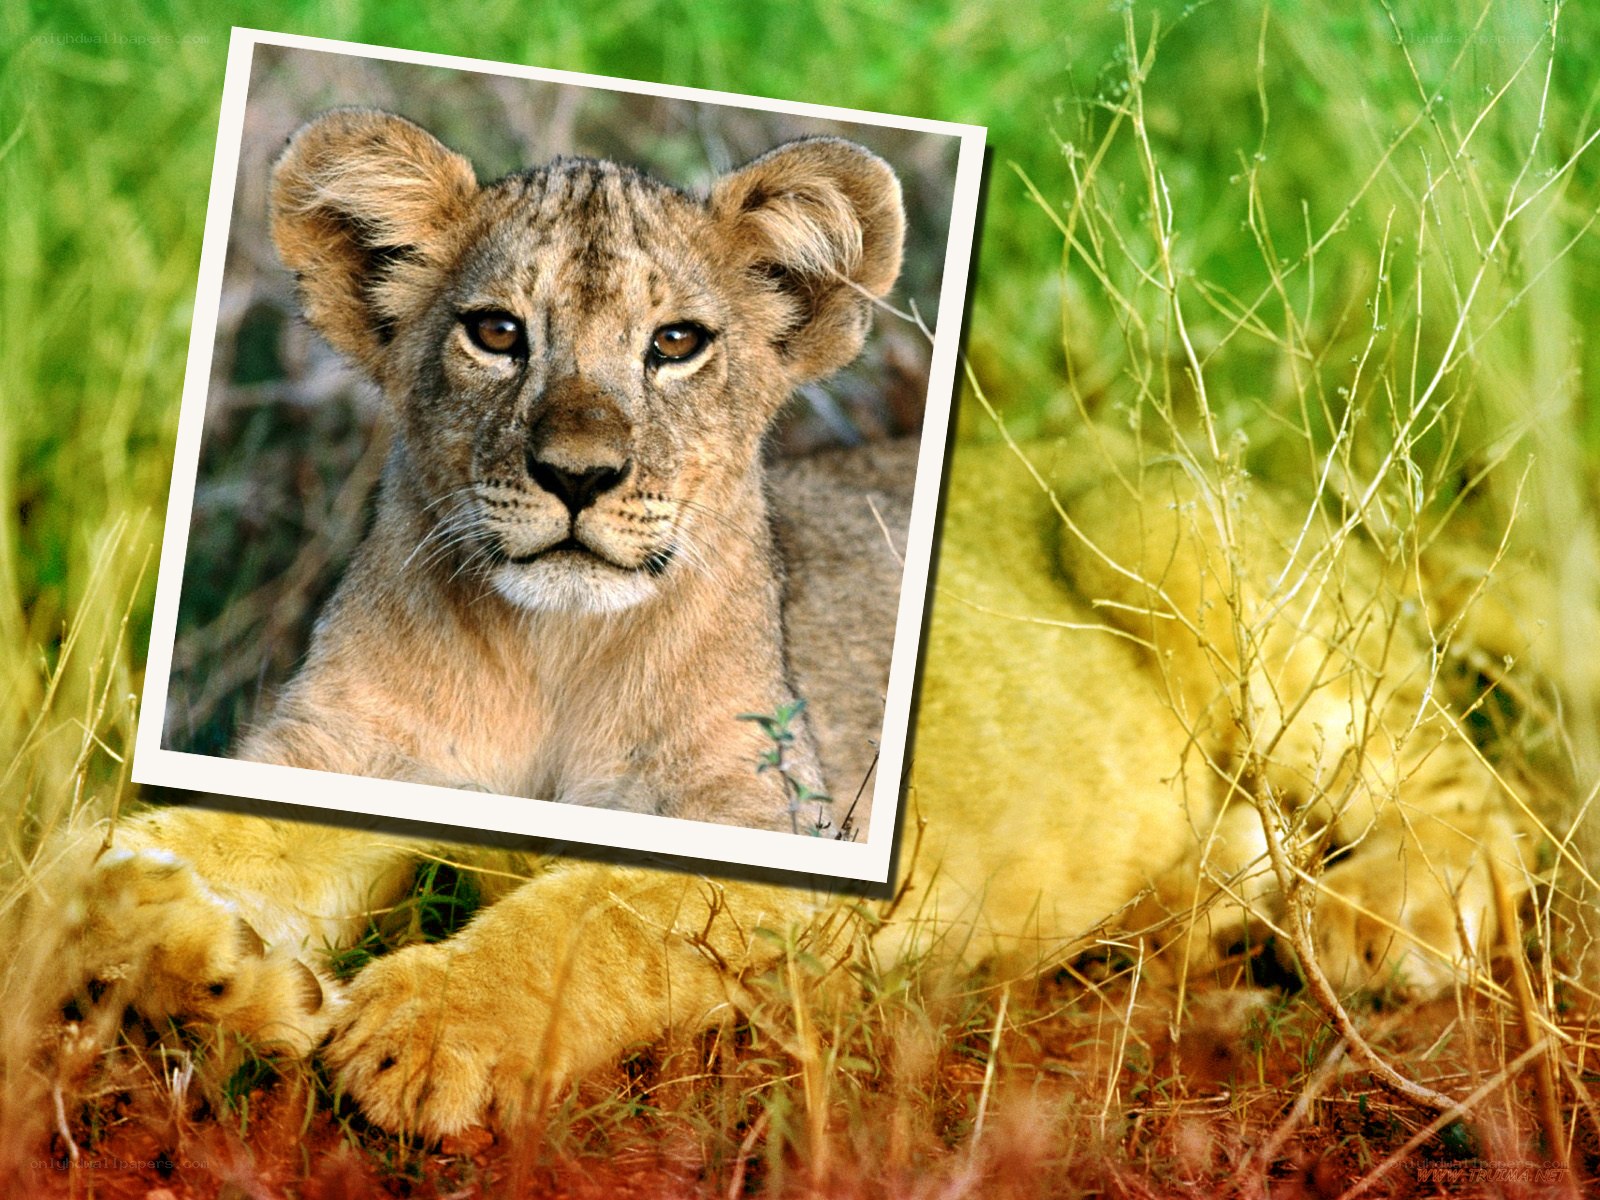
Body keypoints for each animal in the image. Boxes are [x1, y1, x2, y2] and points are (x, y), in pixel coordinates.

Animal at [37, 110, 1532, 1141]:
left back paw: (1371, 923)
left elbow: (603, 903)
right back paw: (1197, 914)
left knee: (1483, 801)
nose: (579, 476)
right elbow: (100, 864)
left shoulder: (778, 821)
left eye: (677, 345)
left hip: (1154, 516)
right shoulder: (333, 751)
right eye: (494, 333)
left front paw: (424, 1023)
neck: (550, 653)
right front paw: (219, 971)